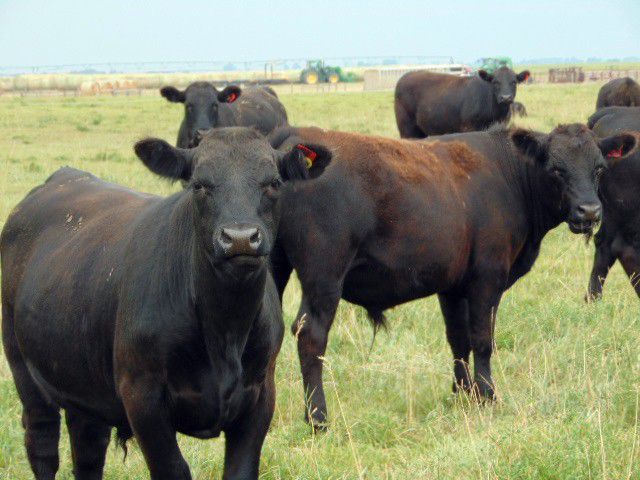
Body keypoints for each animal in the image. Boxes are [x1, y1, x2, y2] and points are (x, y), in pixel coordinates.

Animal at [0, 127, 332, 479]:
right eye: (198, 184)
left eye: (274, 183)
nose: (240, 238)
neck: (225, 330)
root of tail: (62, 177)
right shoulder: (142, 397)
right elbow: (172, 468)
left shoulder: (259, 396)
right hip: (23, 368)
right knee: (42, 443)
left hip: (82, 381)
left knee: (88, 450)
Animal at [268, 124, 637, 429]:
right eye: (556, 169)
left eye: (599, 168)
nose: (589, 212)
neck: (508, 176)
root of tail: (291, 139)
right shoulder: (487, 278)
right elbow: (483, 340)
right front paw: (487, 395)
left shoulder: (452, 286)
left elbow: (458, 339)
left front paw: (463, 391)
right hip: (323, 279)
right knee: (310, 336)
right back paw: (318, 417)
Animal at [394, 67, 530, 138]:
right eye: (495, 82)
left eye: (514, 82)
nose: (506, 97)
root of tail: (405, 77)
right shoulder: (469, 128)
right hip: (407, 129)